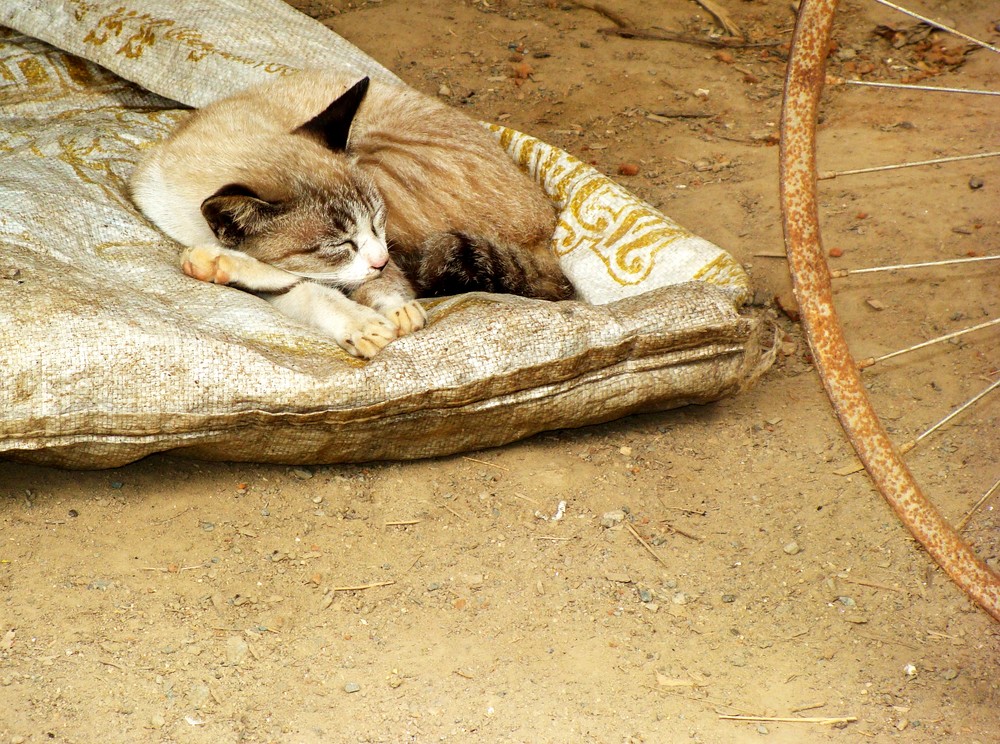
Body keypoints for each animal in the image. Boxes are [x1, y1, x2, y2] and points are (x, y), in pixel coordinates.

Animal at [129, 70, 576, 358]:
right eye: (338, 244)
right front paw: (359, 323)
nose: (377, 260)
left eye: (378, 222)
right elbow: (305, 288)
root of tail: (546, 227)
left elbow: (319, 281)